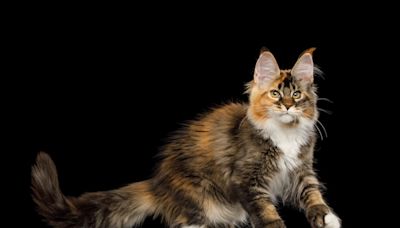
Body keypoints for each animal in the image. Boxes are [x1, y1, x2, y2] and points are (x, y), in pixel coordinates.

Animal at [32, 48, 340, 228]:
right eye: (276, 94)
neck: (285, 134)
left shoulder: (301, 170)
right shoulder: (248, 179)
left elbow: (312, 195)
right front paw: (275, 224)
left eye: (296, 95)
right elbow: (265, 211)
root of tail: (158, 184)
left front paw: (327, 217)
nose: (287, 106)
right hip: (199, 197)